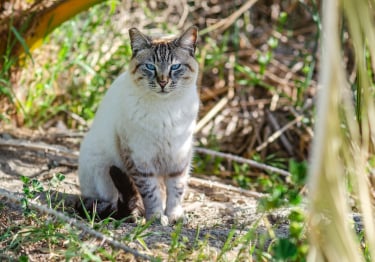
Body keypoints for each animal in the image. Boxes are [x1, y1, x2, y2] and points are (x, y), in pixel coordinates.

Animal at [78, 25, 201, 224]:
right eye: (150, 67)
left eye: (175, 67)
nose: (163, 82)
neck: (164, 109)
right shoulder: (140, 160)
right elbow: (151, 194)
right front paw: (156, 217)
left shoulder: (179, 157)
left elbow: (176, 190)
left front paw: (174, 216)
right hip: (101, 169)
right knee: (110, 202)